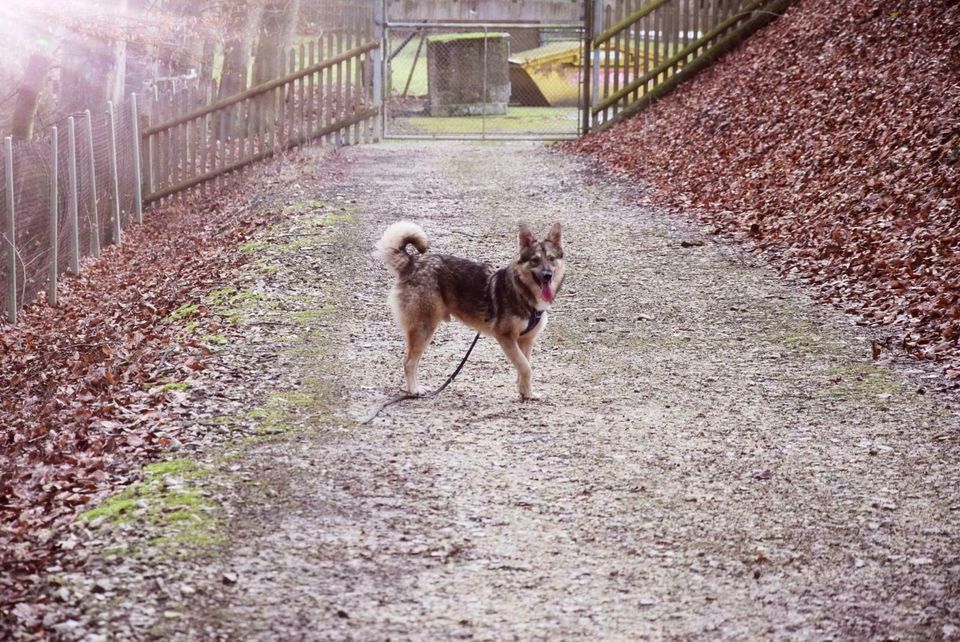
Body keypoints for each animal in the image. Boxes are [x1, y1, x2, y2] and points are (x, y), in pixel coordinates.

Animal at [374, 222, 564, 398]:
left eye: (551, 259)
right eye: (535, 260)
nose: (547, 275)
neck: (523, 292)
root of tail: (412, 263)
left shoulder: (526, 340)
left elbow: (524, 366)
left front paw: (526, 393)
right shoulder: (505, 337)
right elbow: (526, 367)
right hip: (424, 328)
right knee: (409, 363)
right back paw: (414, 390)